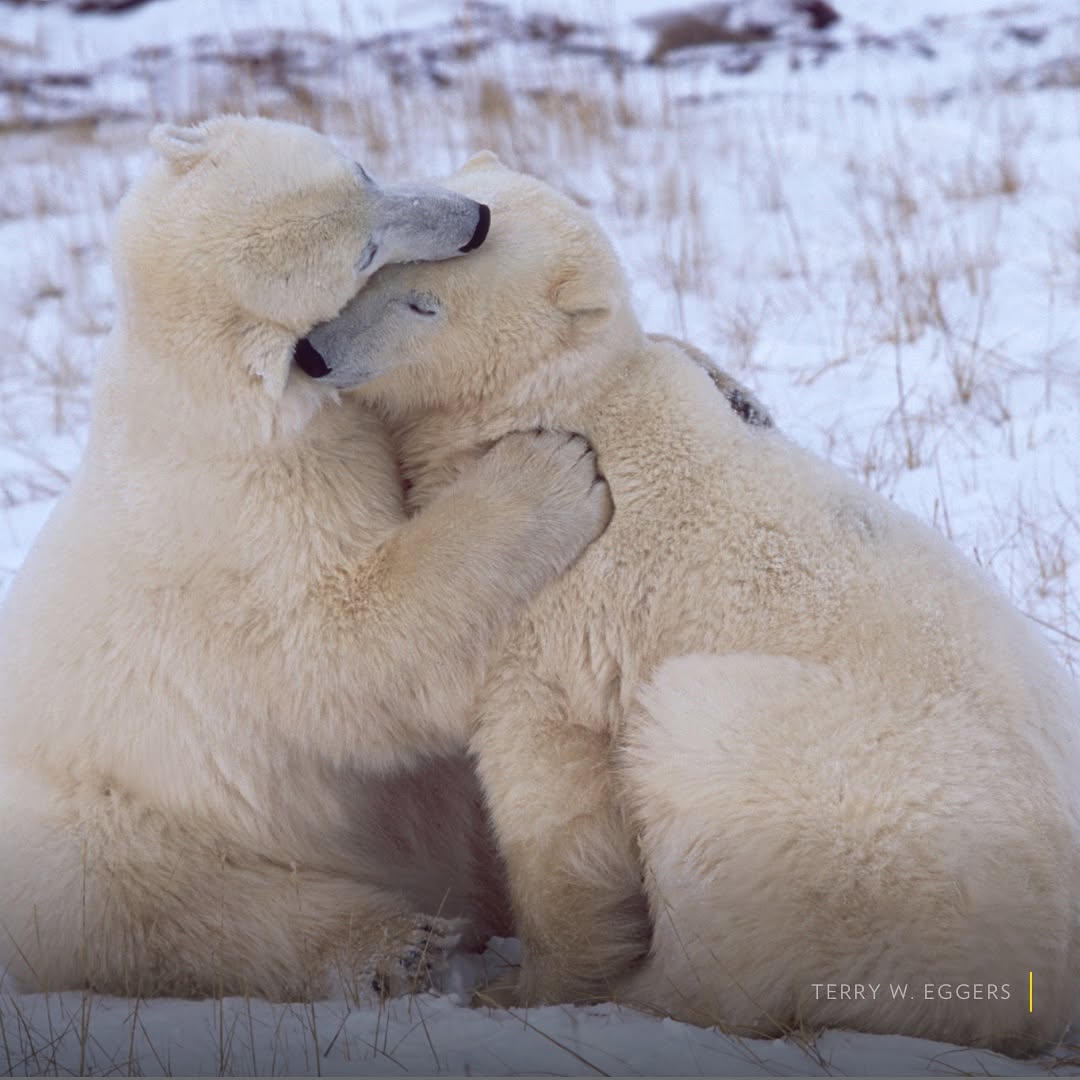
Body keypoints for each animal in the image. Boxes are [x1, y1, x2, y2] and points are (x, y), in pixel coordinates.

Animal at [0, 120, 612, 1001]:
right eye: (363, 253)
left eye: (361, 171)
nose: (475, 219)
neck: (197, 395)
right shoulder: (257, 519)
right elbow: (348, 652)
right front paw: (548, 472)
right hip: (104, 830)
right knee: (168, 905)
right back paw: (395, 946)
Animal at [303, 153, 1080, 1052]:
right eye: (376, 264)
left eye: (426, 301)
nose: (314, 354)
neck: (564, 404)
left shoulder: (557, 602)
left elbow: (549, 782)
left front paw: (526, 987)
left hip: (852, 810)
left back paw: (644, 991)